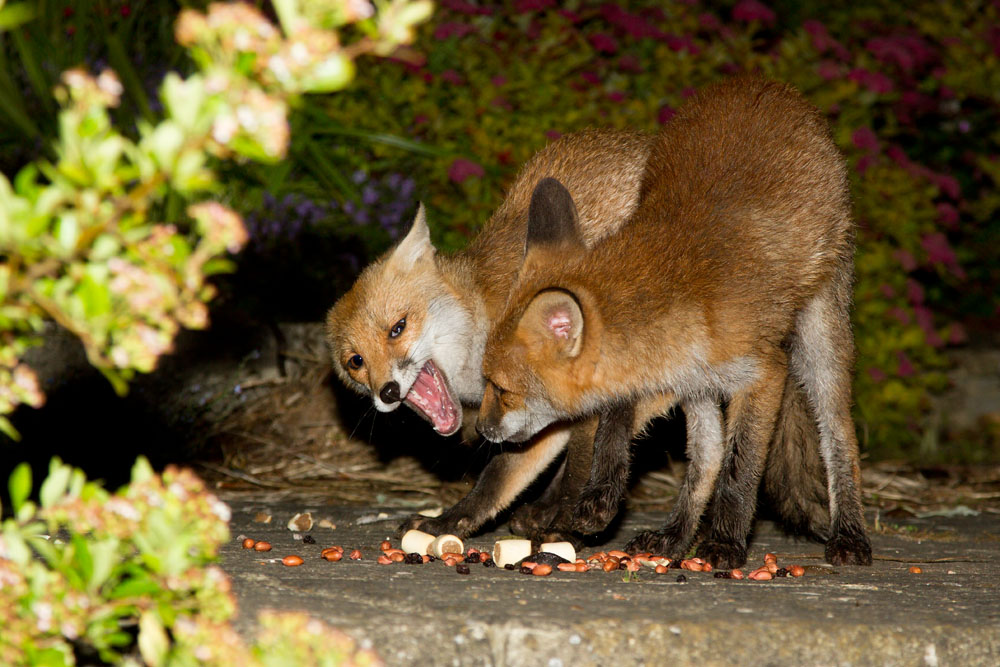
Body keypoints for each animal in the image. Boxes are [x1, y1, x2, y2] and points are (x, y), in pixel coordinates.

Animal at [477, 75, 872, 568]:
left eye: (502, 389)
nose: (481, 431)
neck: (681, 297)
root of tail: (761, 84)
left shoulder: (764, 374)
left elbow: (741, 468)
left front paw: (725, 542)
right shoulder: (676, 375)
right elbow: (620, 426)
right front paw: (602, 498)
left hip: (820, 338)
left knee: (839, 436)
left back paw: (849, 533)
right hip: (699, 390)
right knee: (706, 456)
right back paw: (675, 536)